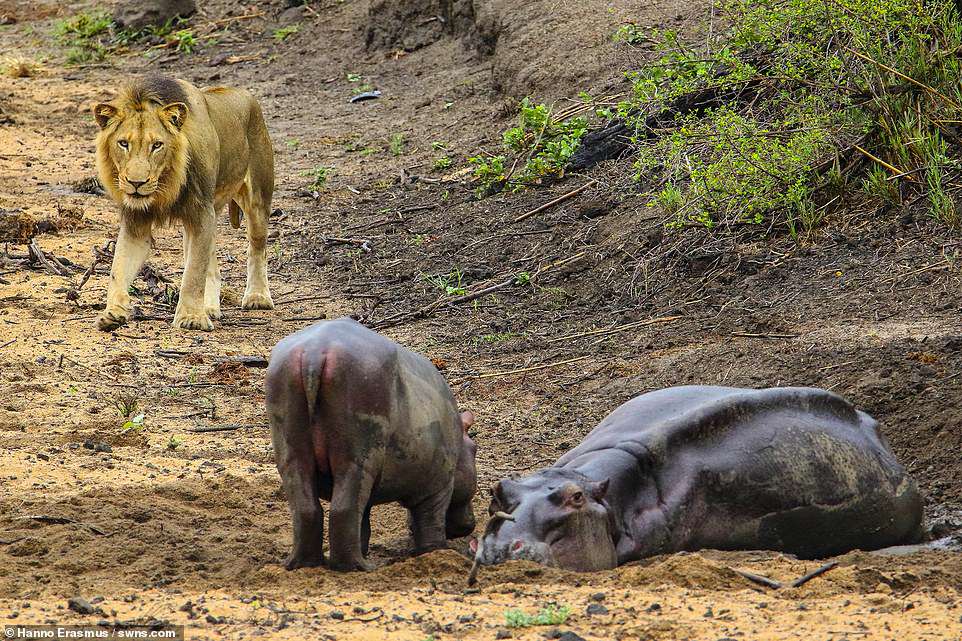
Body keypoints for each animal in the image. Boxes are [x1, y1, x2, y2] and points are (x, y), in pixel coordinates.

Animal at [92, 76, 274, 330]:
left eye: (157, 145)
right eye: (123, 143)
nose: (136, 183)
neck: (167, 184)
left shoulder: (201, 213)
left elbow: (194, 273)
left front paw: (191, 318)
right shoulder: (137, 222)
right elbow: (118, 268)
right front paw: (113, 313)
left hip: (257, 198)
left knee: (257, 247)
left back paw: (257, 297)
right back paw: (209, 308)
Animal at [266, 318, 476, 572]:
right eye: (475, 449)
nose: (470, 525)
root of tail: (315, 351)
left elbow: (363, 523)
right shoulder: (439, 484)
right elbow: (430, 521)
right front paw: (436, 553)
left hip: (292, 448)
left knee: (307, 507)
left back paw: (303, 564)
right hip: (358, 453)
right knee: (343, 509)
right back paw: (359, 567)